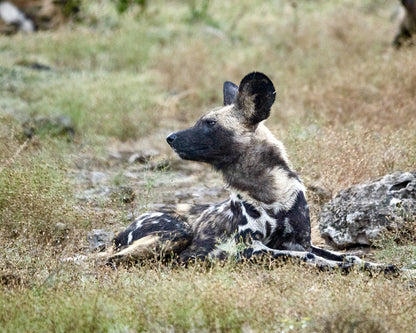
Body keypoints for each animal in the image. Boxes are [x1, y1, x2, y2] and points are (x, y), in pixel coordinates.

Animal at [104, 72, 396, 272]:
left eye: (210, 124)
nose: (170, 138)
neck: (270, 192)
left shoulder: (299, 242)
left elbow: (349, 255)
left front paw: (383, 268)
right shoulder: (249, 248)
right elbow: (313, 257)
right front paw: (339, 268)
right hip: (176, 234)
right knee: (107, 259)